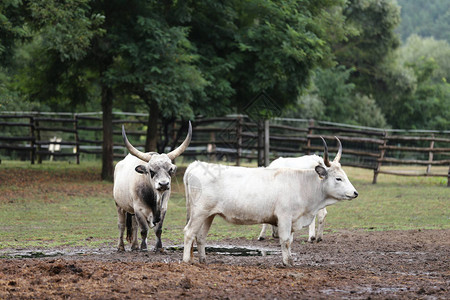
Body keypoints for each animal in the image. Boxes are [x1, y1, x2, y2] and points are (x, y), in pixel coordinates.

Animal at [114, 120, 192, 252]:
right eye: (151, 171)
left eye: (170, 170)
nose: (164, 184)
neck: (154, 198)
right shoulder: (139, 209)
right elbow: (144, 230)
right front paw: (144, 247)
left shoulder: (163, 208)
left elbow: (158, 229)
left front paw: (159, 247)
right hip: (120, 205)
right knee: (121, 225)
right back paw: (121, 247)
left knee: (134, 225)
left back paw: (135, 246)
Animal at [183, 137, 358, 266]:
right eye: (338, 178)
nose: (355, 193)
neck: (303, 184)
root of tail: (196, 165)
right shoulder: (284, 217)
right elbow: (285, 241)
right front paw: (287, 263)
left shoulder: (292, 220)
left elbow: (290, 241)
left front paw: (289, 260)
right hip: (199, 212)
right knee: (189, 233)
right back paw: (186, 261)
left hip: (209, 215)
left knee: (201, 237)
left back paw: (203, 260)